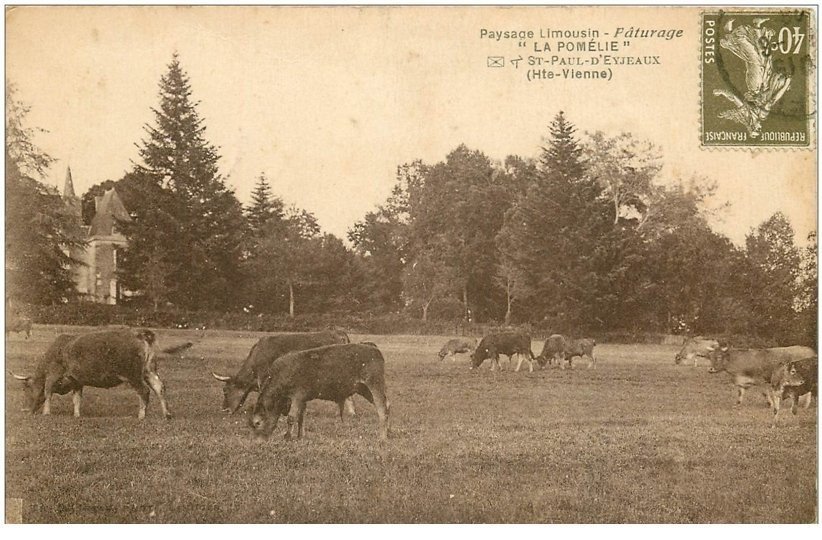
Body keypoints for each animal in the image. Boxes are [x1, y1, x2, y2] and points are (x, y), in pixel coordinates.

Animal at [10, 326, 192, 420]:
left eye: (25, 388)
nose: (25, 410)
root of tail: (139, 333)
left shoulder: (53, 375)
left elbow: (48, 393)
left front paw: (47, 413)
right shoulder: (77, 381)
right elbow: (77, 399)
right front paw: (77, 415)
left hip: (133, 375)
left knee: (144, 391)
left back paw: (141, 415)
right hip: (149, 371)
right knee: (160, 388)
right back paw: (167, 414)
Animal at [249, 344, 392, 440]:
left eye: (257, 423)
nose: (258, 441)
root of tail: (373, 348)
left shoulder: (297, 396)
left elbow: (291, 418)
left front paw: (287, 437)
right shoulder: (303, 400)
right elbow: (301, 418)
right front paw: (300, 436)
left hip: (375, 385)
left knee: (382, 409)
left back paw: (382, 437)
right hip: (364, 389)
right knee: (387, 405)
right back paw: (389, 432)